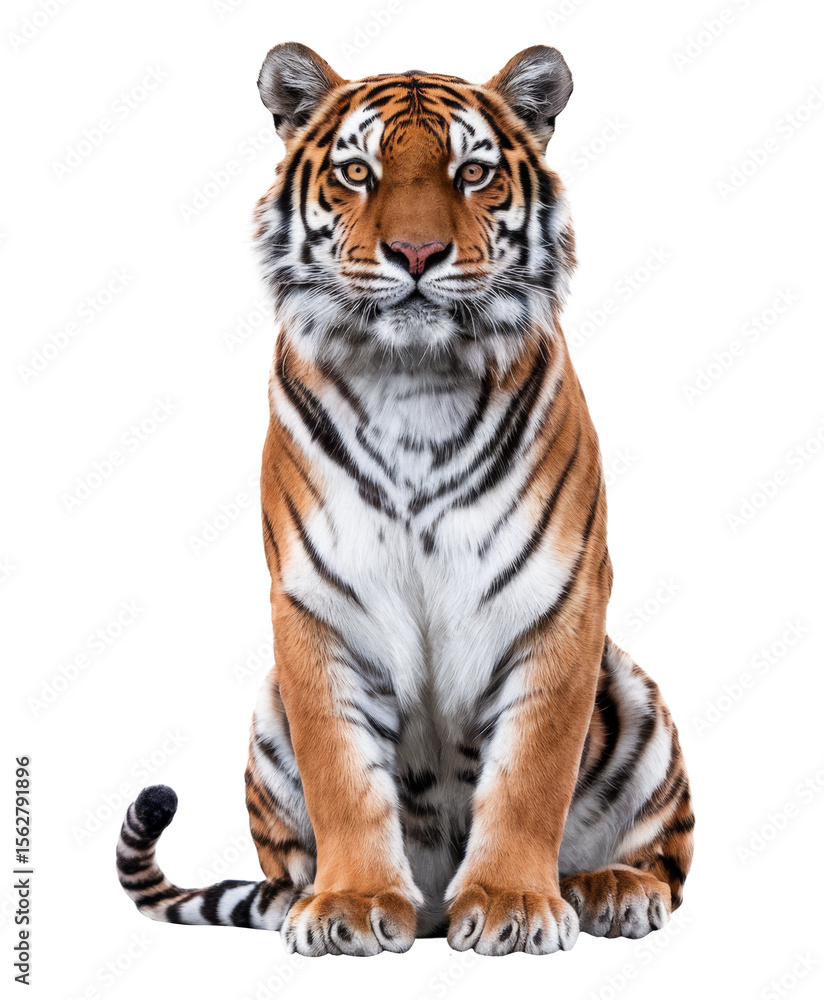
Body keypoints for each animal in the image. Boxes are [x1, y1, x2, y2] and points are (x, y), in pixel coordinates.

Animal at [117, 42, 694, 956]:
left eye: (472, 173)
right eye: (357, 172)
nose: (417, 253)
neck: (415, 381)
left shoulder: (560, 600)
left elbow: (531, 773)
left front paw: (512, 903)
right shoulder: (316, 606)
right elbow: (343, 773)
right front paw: (350, 904)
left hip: (637, 702)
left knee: (665, 857)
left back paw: (608, 888)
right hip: (268, 715)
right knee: (287, 866)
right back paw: (319, 898)